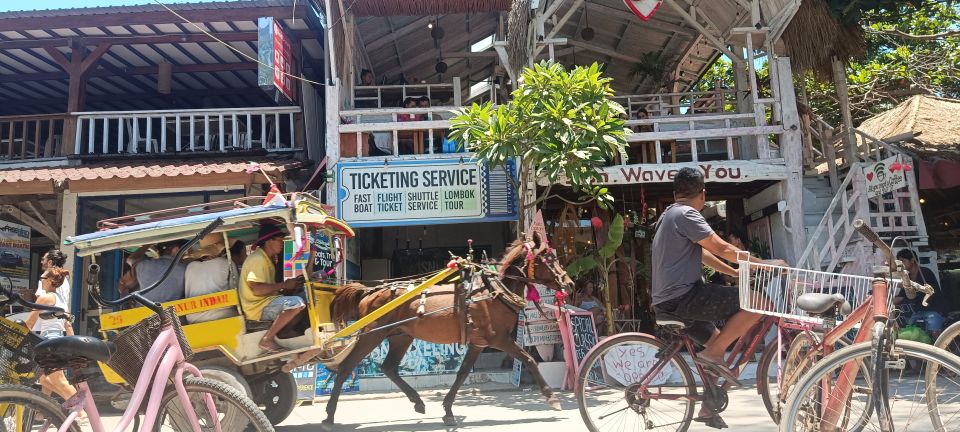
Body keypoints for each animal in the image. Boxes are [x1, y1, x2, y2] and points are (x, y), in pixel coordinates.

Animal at [326, 238, 572, 426]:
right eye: (549, 260)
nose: (569, 284)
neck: (494, 291)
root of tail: (370, 292)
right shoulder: (499, 339)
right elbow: (529, 359)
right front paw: (552, 399)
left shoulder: (479, 343)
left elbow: (462, 373)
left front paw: (448, 410)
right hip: (371, 334)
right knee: (345, 367)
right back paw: (329, 415)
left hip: (400, 337)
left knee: (388, 367)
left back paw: (418, 402)